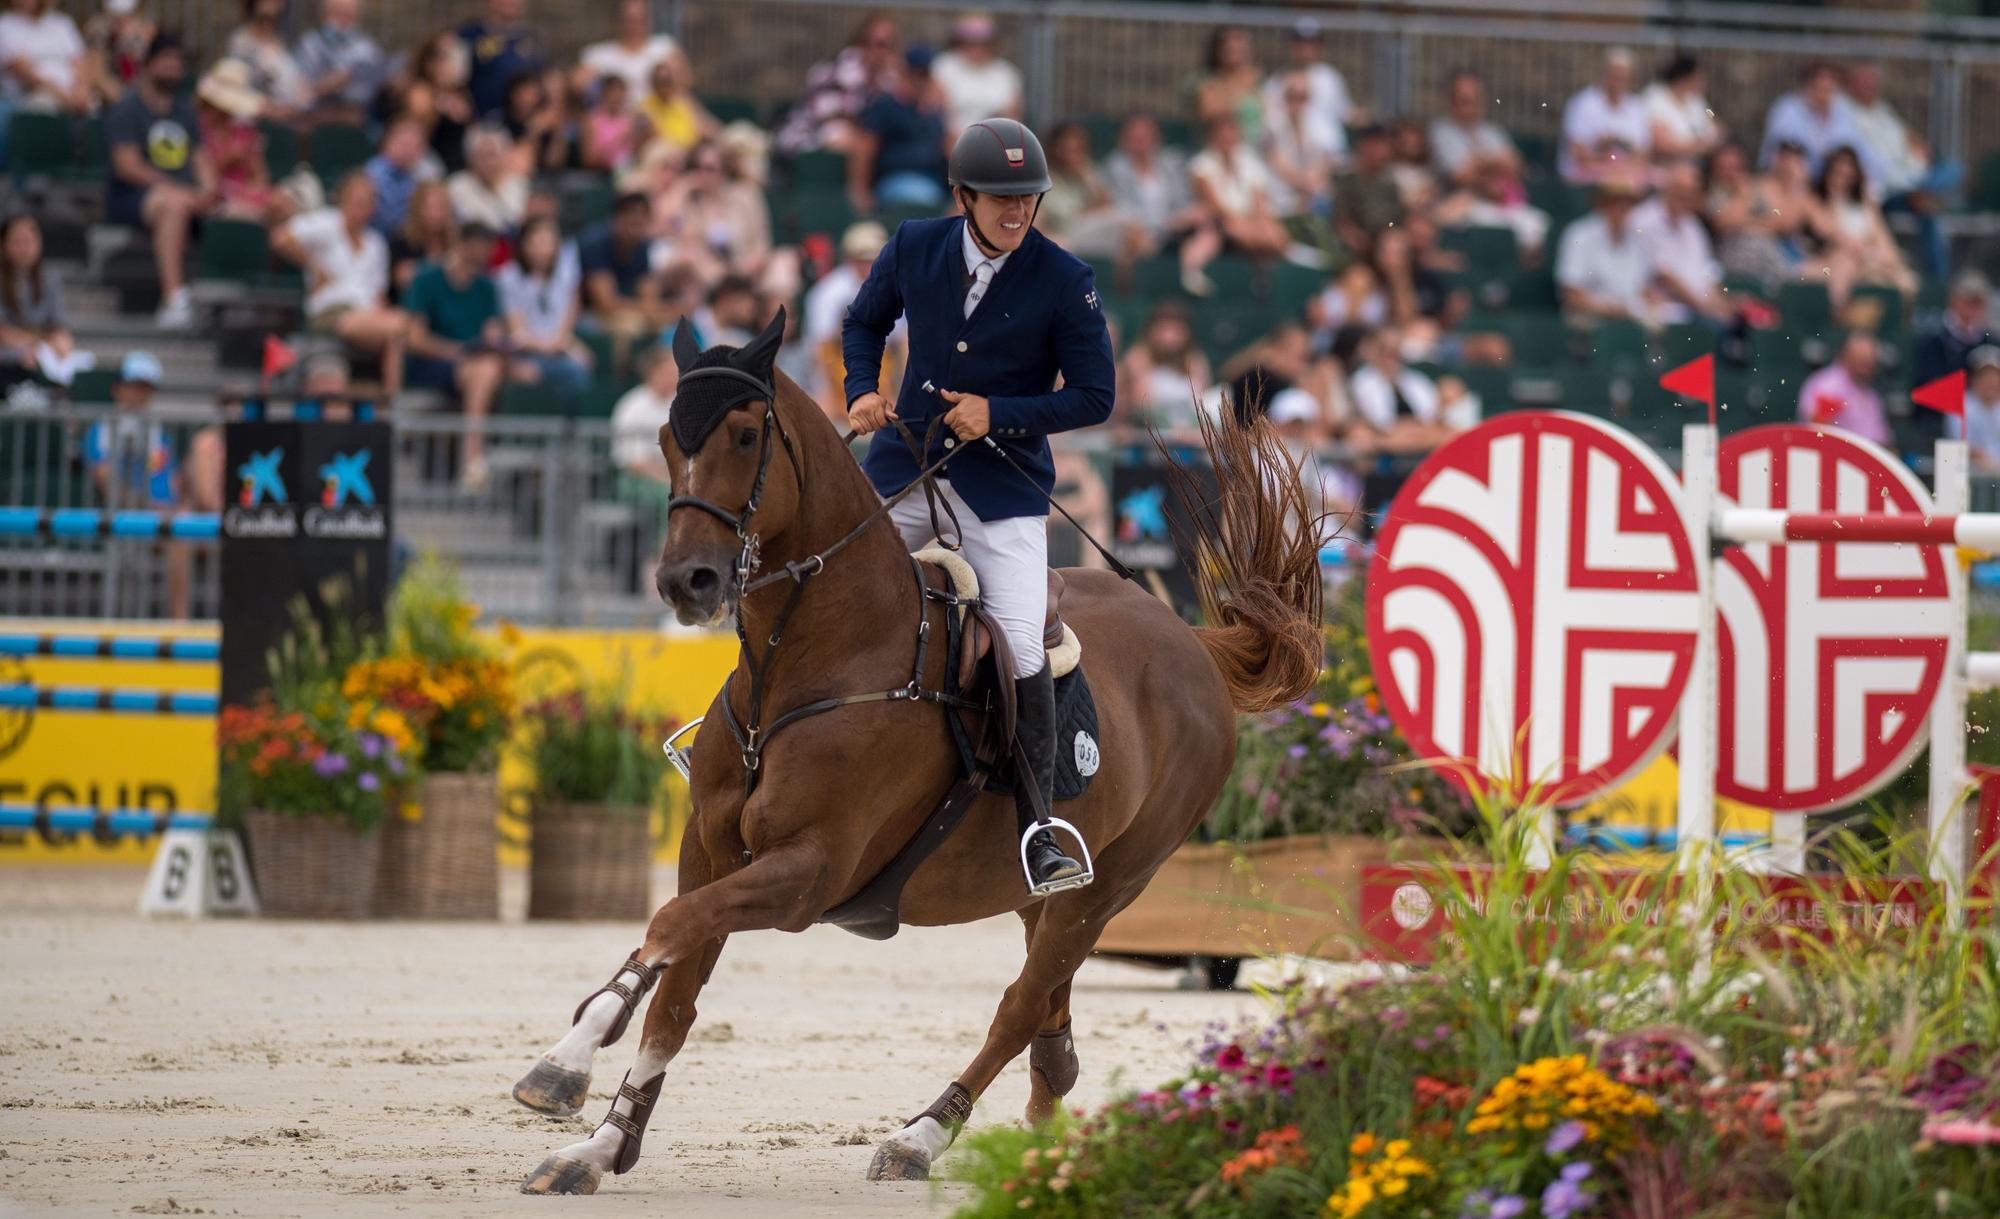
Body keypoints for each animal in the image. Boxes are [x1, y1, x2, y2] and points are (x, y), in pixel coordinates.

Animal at [516, 327, 1328, 1191]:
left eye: (744, 435)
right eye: (668, 440)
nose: (686, 581)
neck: (814, 657)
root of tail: (1195, 644)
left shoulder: (808, 872)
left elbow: (669, 929)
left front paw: (570, 1070)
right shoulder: (708, 849)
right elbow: (671, 986)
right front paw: (594, 1134)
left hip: (1113, 882)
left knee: (1019, 1005)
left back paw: (924, 1136)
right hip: (1040, 890)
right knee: (1048, 1003)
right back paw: (1045, 1133)